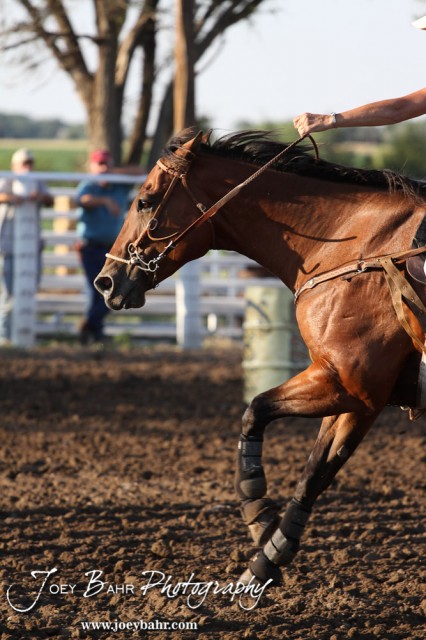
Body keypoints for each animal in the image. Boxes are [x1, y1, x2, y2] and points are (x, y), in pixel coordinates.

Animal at [94, 128, 426, 586]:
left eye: (144, 200)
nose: (105, 281)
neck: (359, 250)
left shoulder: (343, 381)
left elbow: (256, 409)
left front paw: (256, 513)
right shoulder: (361, 398)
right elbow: (314, 472)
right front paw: (271, 550)